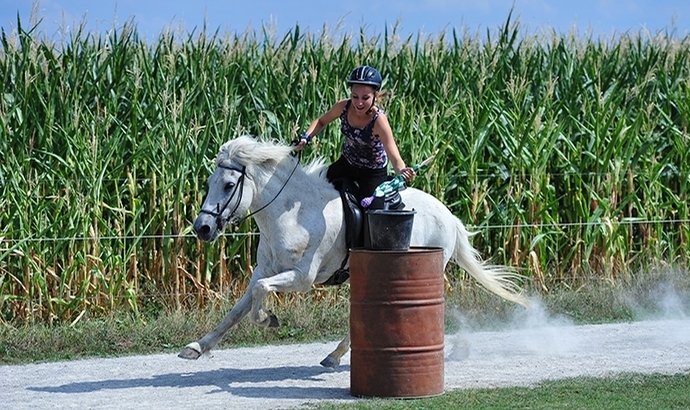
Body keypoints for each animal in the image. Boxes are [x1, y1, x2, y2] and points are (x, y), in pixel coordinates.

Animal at [179, 135, 528, 368]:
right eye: (209, 182)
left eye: (228, 185)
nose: (202, 228)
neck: (288, 215)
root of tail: (448, 214)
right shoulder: (263, 271)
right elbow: (239, 308)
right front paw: (197, 346)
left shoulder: (301, 278)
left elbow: (260, 296)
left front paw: (268, 320)